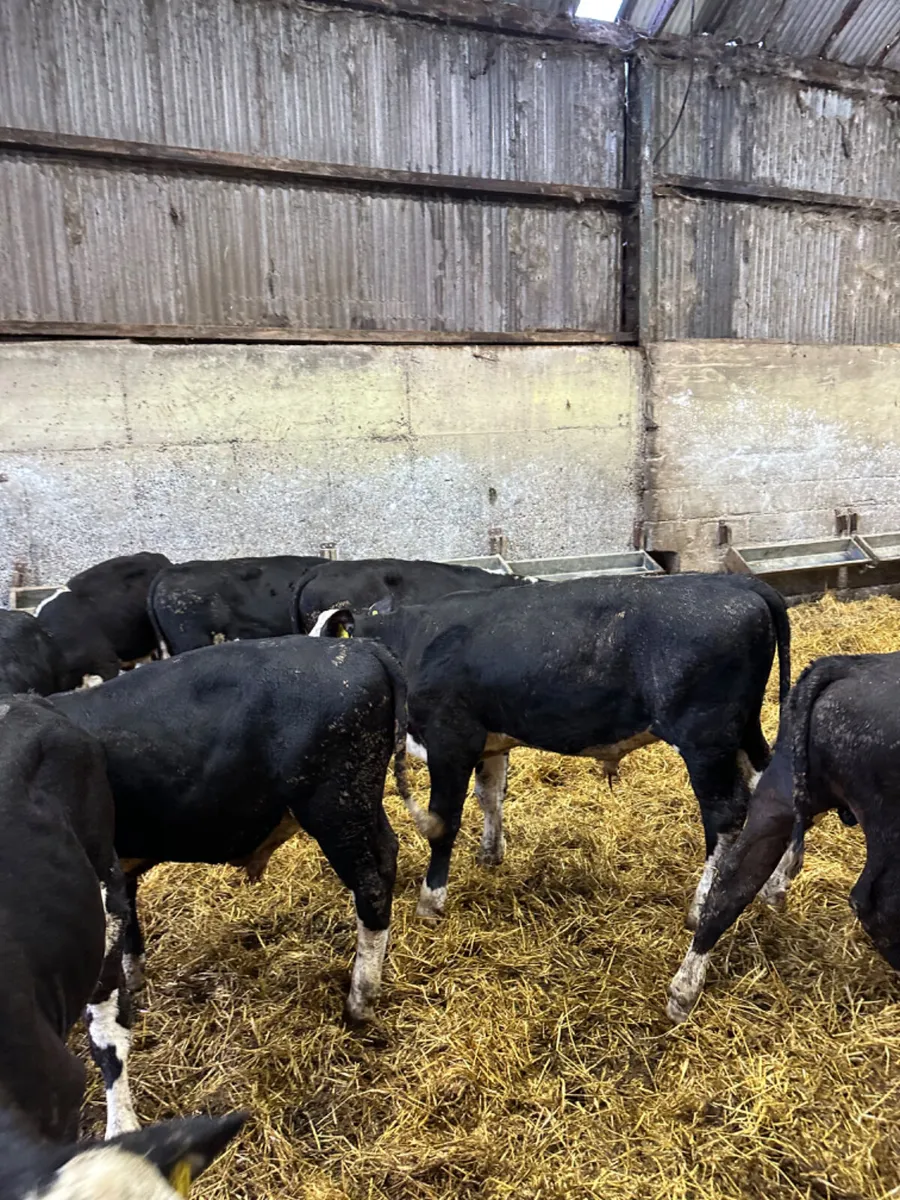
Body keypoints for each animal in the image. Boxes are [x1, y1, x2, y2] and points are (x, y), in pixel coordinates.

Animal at [50, 636, 431, 1022]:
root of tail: (362, 648)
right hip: (360, 803)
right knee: (387, 852)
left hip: (336, 807)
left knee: (372, 884)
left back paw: (358, 1005)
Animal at [309, 572, 791, 927]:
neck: (414, 640)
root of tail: (738, 583)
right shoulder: (490, 741)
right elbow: (490, 796)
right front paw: (491, 855)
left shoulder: (452, 740)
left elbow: (444, 822)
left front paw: (431, 901)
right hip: (742, 729)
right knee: (769, 788)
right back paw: (770, 887)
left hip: (705, 739)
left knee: (726, 814)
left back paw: (702, 906)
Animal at [667, 651, 900, 1024]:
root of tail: (848, 666)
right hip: (889, 830)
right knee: (879, 905)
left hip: (778, 799)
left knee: (734, 882)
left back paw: (684, 991)